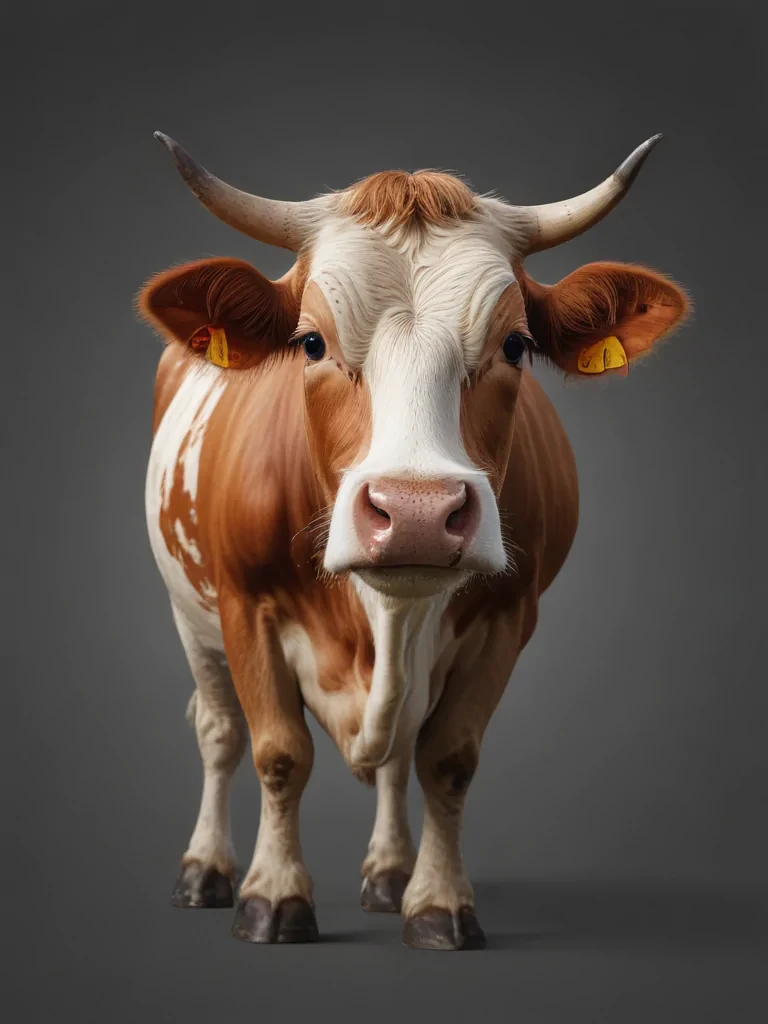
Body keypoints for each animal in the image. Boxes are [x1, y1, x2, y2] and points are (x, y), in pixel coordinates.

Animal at [139, 132, 689, 950]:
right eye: (310, 342)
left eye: (516, 345)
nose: (418, 509)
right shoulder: (245, 606)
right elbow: (277, 752)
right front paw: (272, 896)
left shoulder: (509, 617)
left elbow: (446, 758)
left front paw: (437, 903)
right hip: (188, 614)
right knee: (218, 731)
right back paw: (204, 870)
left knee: (397, 756)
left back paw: (390, 873)